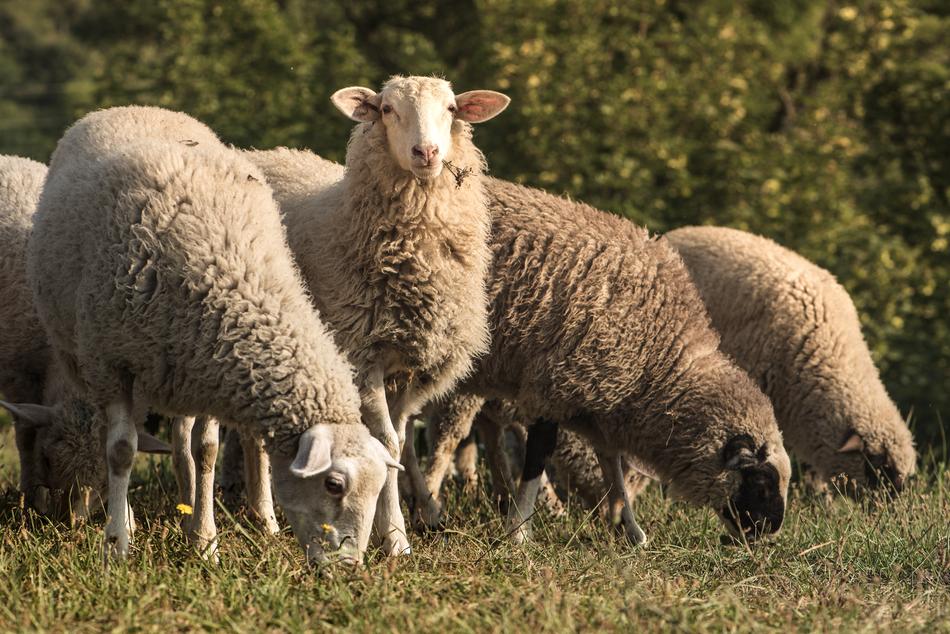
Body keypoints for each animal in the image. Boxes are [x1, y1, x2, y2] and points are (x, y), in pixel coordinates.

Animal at [28, 106, 399, 565]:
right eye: (334, 484)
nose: (348, 568)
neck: (227, 268)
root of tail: (135, 108)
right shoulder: (112, 364)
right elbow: (120, 451)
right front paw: (117, 545)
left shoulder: (208, 364)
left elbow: (206, 451)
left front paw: (205, 541)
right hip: (86, 358)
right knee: (107, 437)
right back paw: (126, 518)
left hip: (171, 369)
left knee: (180, 442)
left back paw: (187, 509)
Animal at [257, 76, 509, 553]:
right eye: (388, 109)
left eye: (451, 108)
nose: (427, 152)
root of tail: (267, 152)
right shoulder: (361, 356)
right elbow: (386, 444)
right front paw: (395, 539)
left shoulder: (411, 369)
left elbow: (401, 441)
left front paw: (399, 524)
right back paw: (264, 517)